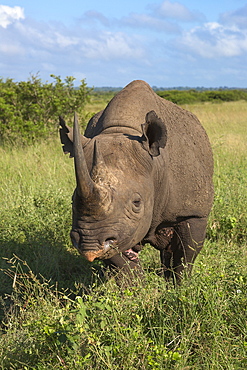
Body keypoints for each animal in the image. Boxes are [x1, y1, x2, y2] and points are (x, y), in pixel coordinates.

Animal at [60, 80, 214, 280]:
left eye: (136, 203)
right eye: (72, 201)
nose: (89, 244)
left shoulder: (192, 212)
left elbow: (184, 257)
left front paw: (178, 286)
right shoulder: (116, 227)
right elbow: (123, 266)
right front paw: (138, 288)